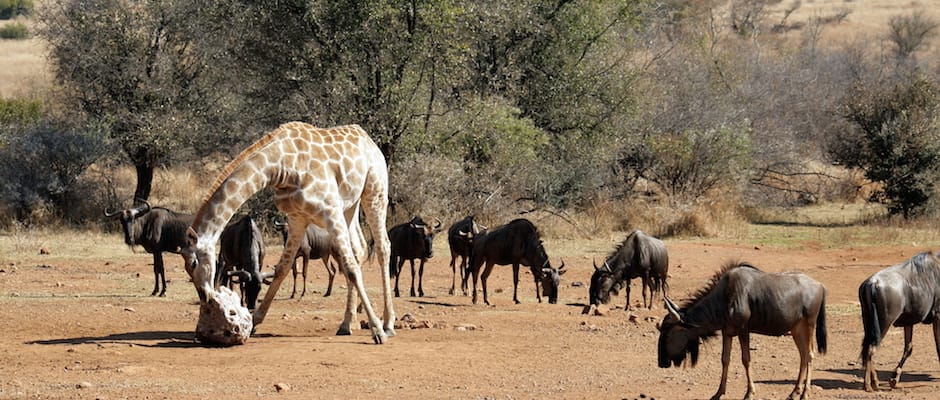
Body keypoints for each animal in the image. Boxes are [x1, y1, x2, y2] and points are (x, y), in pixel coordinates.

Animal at [182, 122, 394, 344]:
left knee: (382, 247)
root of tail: (369, 140)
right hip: (350, 205)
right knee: (360, 247)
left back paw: (388, 324)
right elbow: (282, 268)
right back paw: (347, 323)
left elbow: (351, 268)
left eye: (193, 263)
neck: (281, 166)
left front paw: (377, 329)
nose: (204, 297)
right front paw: (254, 321)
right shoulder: (297, 219)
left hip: (375, 192)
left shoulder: (330, 211)